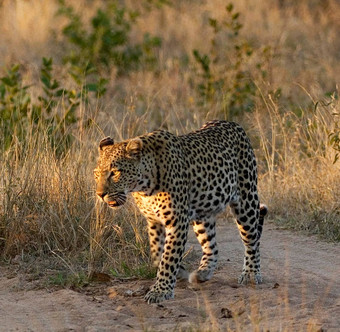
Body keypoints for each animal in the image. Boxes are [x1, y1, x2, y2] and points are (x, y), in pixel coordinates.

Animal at [94, 120, 266, 304]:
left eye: (115, 173)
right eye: (96, 174)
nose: (100, 194)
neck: (144, 188)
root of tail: (233, 123)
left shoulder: (177, 221)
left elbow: (169, 256)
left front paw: (160, 291)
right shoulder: (153, 221)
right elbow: (158, 253)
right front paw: (179, 272)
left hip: (246, 201)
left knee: (252, 240)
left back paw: (251, 273)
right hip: (202, 214)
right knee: (211, 245)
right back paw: (203, 273)